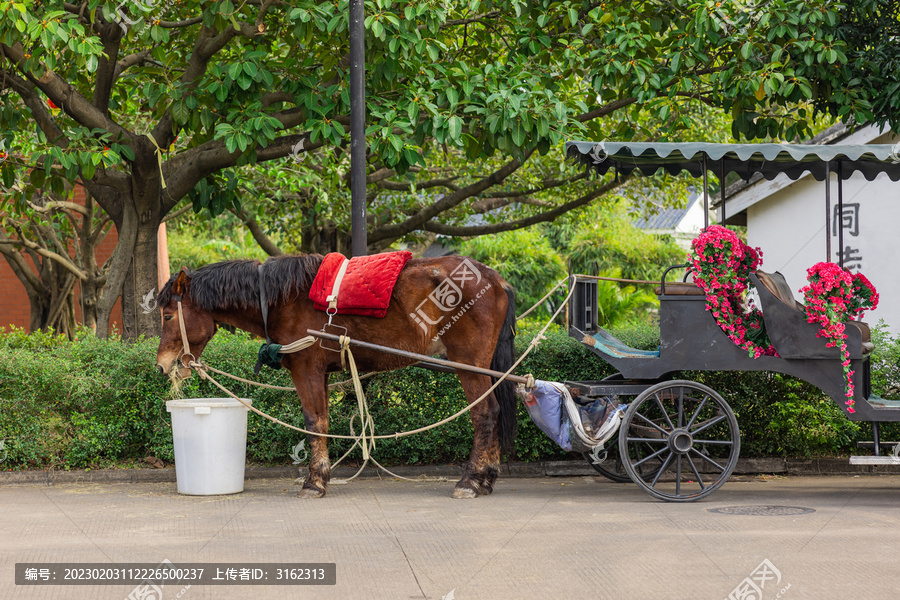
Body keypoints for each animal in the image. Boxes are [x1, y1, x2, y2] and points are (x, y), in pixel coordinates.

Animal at [158, 252, 516, 496]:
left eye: (167, 315)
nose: (162, 364)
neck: (280, 300)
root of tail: (494, 279)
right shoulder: (324, 373)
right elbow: (323, 420)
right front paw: (322, 475)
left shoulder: (306, 369)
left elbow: (314, 422)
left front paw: (315, 480)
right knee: (495, 411)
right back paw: (486, 477)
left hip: (467, 362)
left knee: (485, 414)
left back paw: (471, 480)